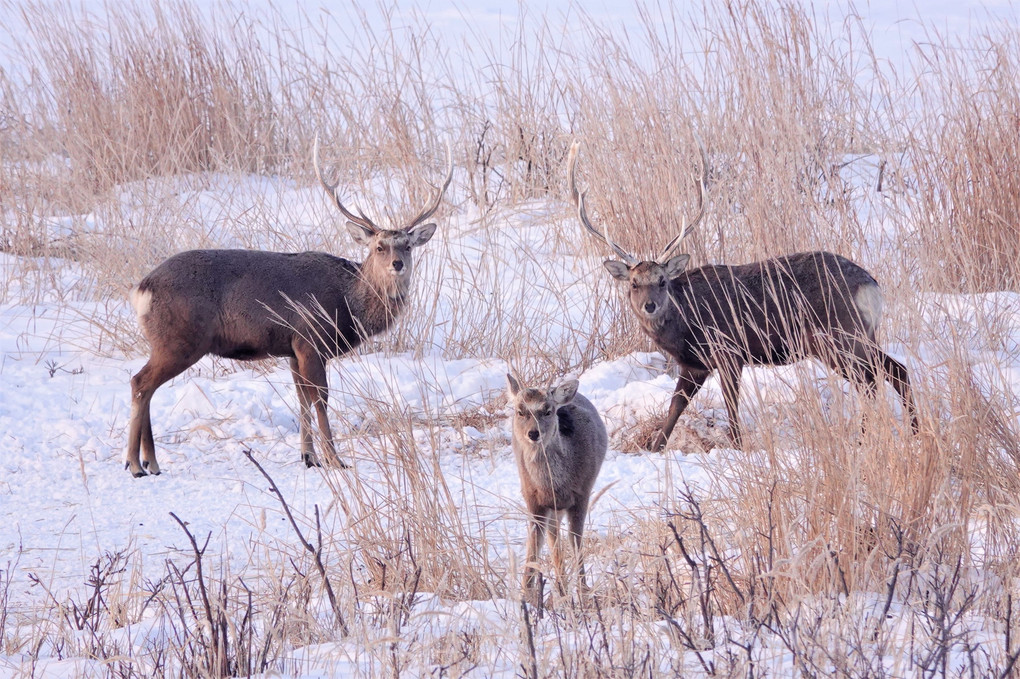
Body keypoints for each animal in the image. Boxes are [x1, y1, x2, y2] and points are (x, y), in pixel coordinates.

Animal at [123, 137, 450, 475]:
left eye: (407, 245)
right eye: (379, 247)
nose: (398, 264)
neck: (348, 303)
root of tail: (141, 289)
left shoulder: (292, 349)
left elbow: (302, 399)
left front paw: (309, 457)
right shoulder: (310, 339)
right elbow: (321, 399)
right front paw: (334, 459)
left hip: (167, 341)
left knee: (145, 385)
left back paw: (150, 462)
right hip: (180, 338)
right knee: (140, 383)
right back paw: (136, 463)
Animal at [507, 373, 603, 599]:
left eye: (548, 411)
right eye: (520, 411)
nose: (533, 434)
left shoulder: (583, 493)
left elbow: (575, 541)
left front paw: (583, 593)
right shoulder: (532, 498)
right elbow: (534, 544)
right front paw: (526, 596)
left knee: (559, 538)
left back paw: (563, 587)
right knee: (553, 539)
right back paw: (560, 587)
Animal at [571, 136, 922, 448]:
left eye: (662, 281)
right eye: (633, 283)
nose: (650, 306)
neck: (687, 324)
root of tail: (871, 285)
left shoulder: (729, 350)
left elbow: (730, 406)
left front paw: (738, 446)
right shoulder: (694, 365)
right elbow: (674, 408)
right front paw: (655, 447)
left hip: (839, 336)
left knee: (875, 380)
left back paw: (869, 439)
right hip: (858, 337)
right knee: (893, 371)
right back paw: (912, 433)